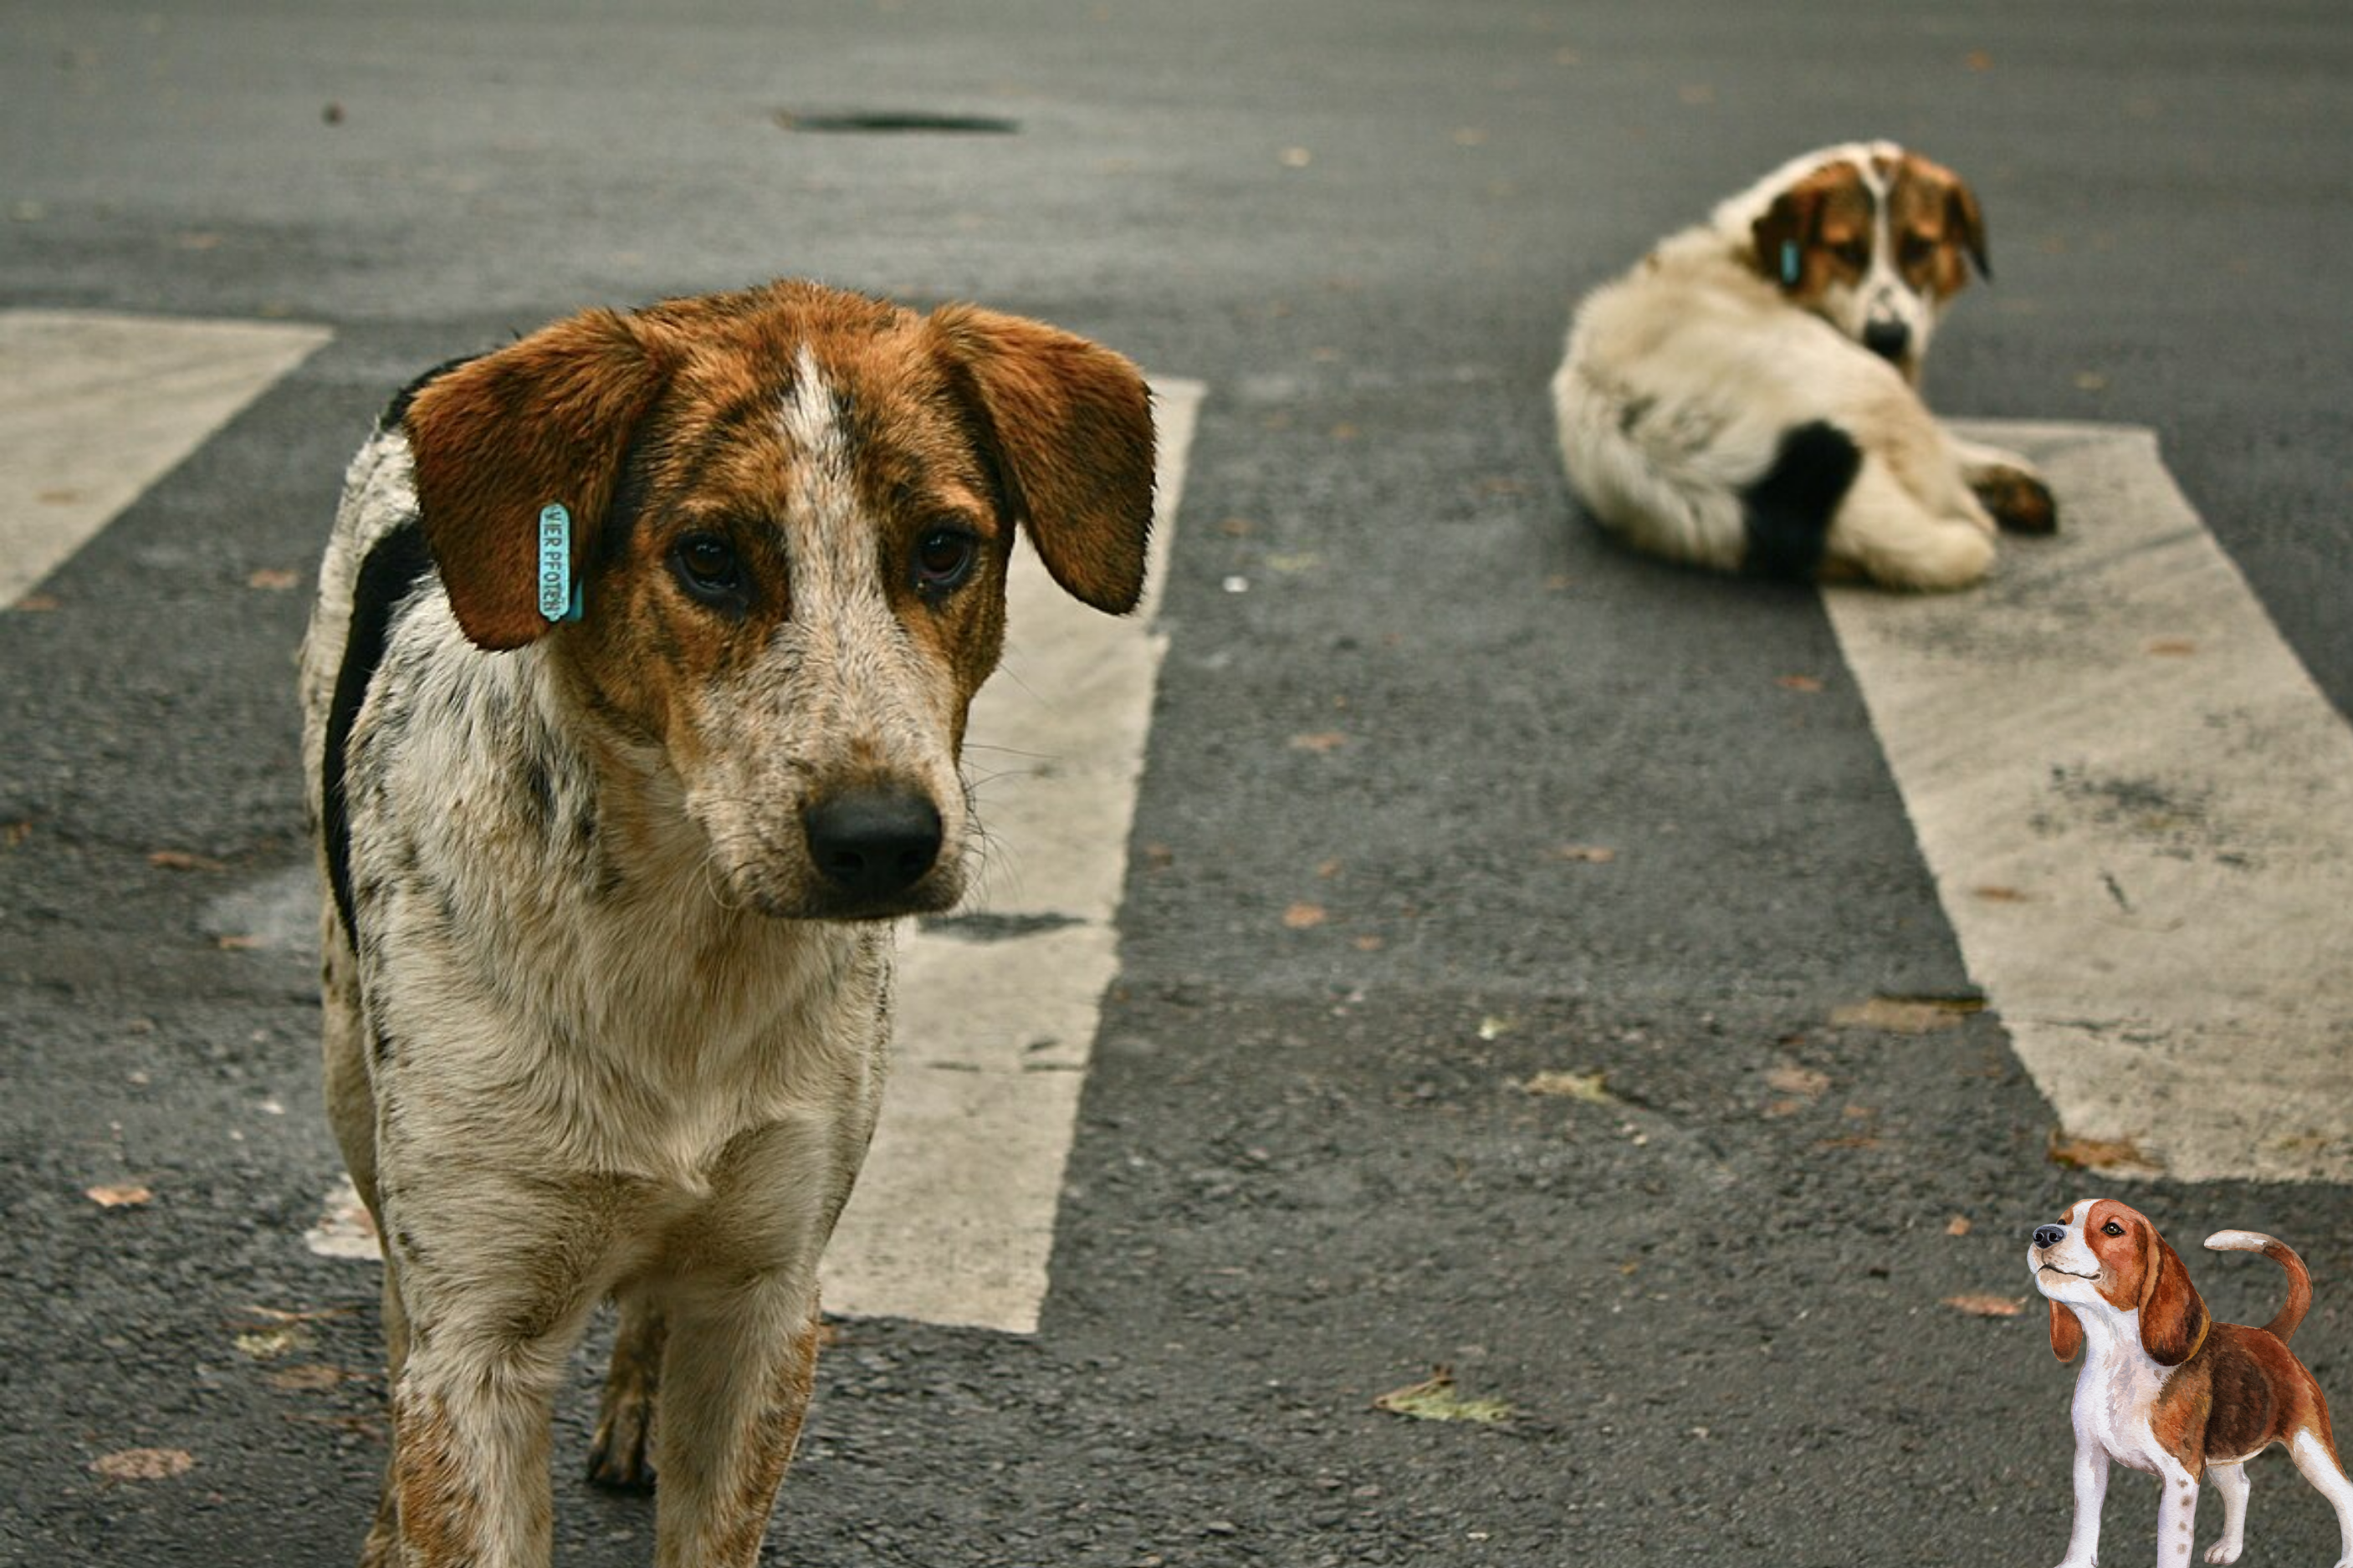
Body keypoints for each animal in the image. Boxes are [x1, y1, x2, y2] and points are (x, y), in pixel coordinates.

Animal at [299, 282, 1162, 1568]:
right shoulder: (481, 1332)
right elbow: (441, 1397)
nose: (880, 839)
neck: (682, 943)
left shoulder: (768, 1299)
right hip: (351, 1066)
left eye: (942, 548)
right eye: (708, 558)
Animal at [1552, 140, 2051, 592]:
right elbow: (1955, 449)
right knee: (1952, 496)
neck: (1754, 259)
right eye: (1845, 251)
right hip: (1877, 389)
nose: (1888, 337)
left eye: (1920, 248)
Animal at [2023, 1203, 2353, 1568]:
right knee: (2240, 1486)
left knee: (2345, 1495)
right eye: (2062, 1221)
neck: (2119, 1358)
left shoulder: (2180, 1477)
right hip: (2223, 1454)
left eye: (2112, 1229)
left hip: (2309, 1448)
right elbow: (2084, 1525)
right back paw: (2229, 1548)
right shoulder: (2089, 1459)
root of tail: (2270, 1335)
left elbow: (2172, 1546)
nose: (2044, 1234)